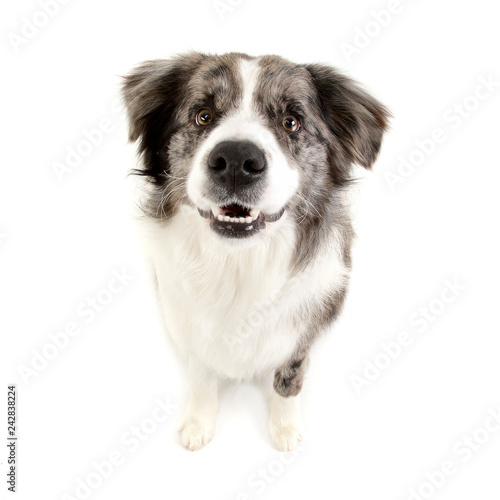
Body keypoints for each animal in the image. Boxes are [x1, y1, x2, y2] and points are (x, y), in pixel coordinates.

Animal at [122, 52, 390, 452]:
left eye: (291, 122)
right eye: (203, 115)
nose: (236, 160)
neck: (239, 262)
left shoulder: (301, 337)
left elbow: (289, 380)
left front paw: (285, 430)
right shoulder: (191, 327)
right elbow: (201, 375)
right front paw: (199, 423)